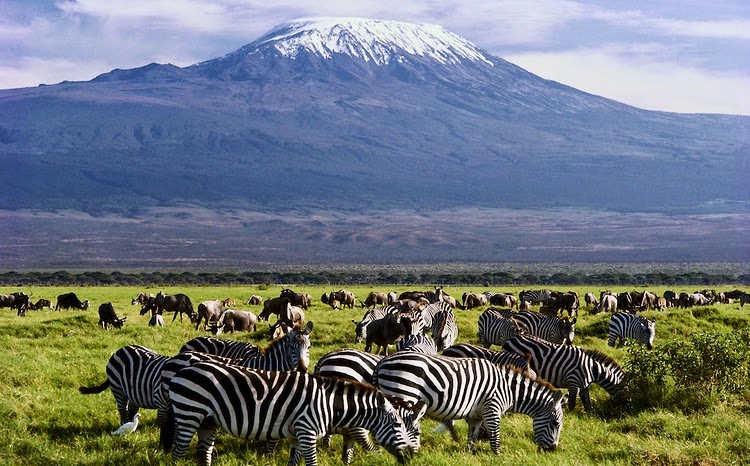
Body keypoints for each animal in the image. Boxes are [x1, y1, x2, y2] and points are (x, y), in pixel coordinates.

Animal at [162, 360, 426, 466]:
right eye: (398, 426)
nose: (411, 457)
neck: (329, 404)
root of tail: (181, 371)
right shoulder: (307, 432)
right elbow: (312, 463)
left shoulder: (297, 435)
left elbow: (294, 462)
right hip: (189, 413)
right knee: (178, 452)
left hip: (209, 421)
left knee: (203, 452)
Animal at [374, 352, 564, 454]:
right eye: (555, 423)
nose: (553, 450)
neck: (509, 390)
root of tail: (383, 361)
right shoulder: (492, 408)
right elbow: (495, 436)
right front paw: (498, 456)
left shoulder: (476, 416)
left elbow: (471, 437)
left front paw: (467, 455)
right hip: (402, 393)